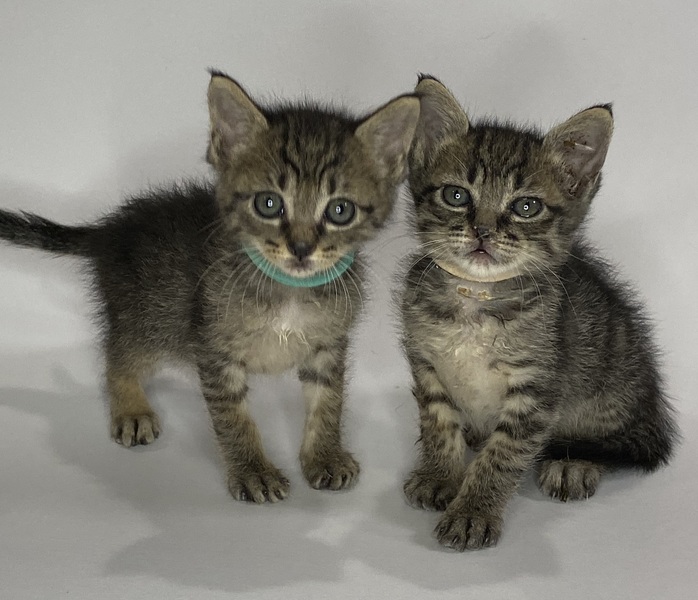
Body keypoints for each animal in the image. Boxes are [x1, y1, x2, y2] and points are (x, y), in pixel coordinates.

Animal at [0, 71, 420, 503]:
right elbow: (232, 416)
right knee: (117, 355)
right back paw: (131, 408)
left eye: (340, 210)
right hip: (150, 319)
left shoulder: (328, 345)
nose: (301, 248)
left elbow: (329, 402)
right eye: (269, 204)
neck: (287, 288)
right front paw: (253, 471)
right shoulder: (213, 346)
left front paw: (325, 456)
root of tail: (112, 230)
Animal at [399, 75, 677, 550]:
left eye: (525, 207)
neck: (478, 299)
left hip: (610, 388)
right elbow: (438, 424)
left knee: (605, 441)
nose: (483, 230)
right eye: (456, 195)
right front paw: (440, 475)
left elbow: (503, 456)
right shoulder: (426, 364)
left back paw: (574, 463)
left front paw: (473, 511)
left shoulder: (537, 389)